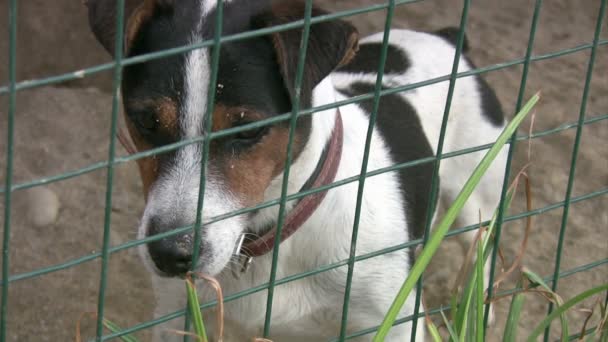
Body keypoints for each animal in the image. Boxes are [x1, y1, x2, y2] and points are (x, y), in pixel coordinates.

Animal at [88, 1, 506, 340]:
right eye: (145, 120)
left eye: (248, 129)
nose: (168, 254)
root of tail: (446, 38)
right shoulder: (179, 319)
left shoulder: (394, 324)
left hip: (477, 199)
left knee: (481, 250)